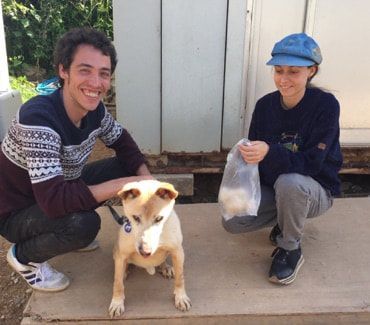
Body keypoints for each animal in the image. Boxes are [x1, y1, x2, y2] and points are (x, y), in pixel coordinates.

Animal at [107, 178, 191, 316]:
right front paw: (117, 303)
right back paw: (125, 270)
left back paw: (166, 267)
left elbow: (180, 278)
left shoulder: (178, 252)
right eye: (135, 217)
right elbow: (117, 283)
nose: (145, 252)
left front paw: (181, 297)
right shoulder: (121, 255)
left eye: (159, 218)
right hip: (116, 253)